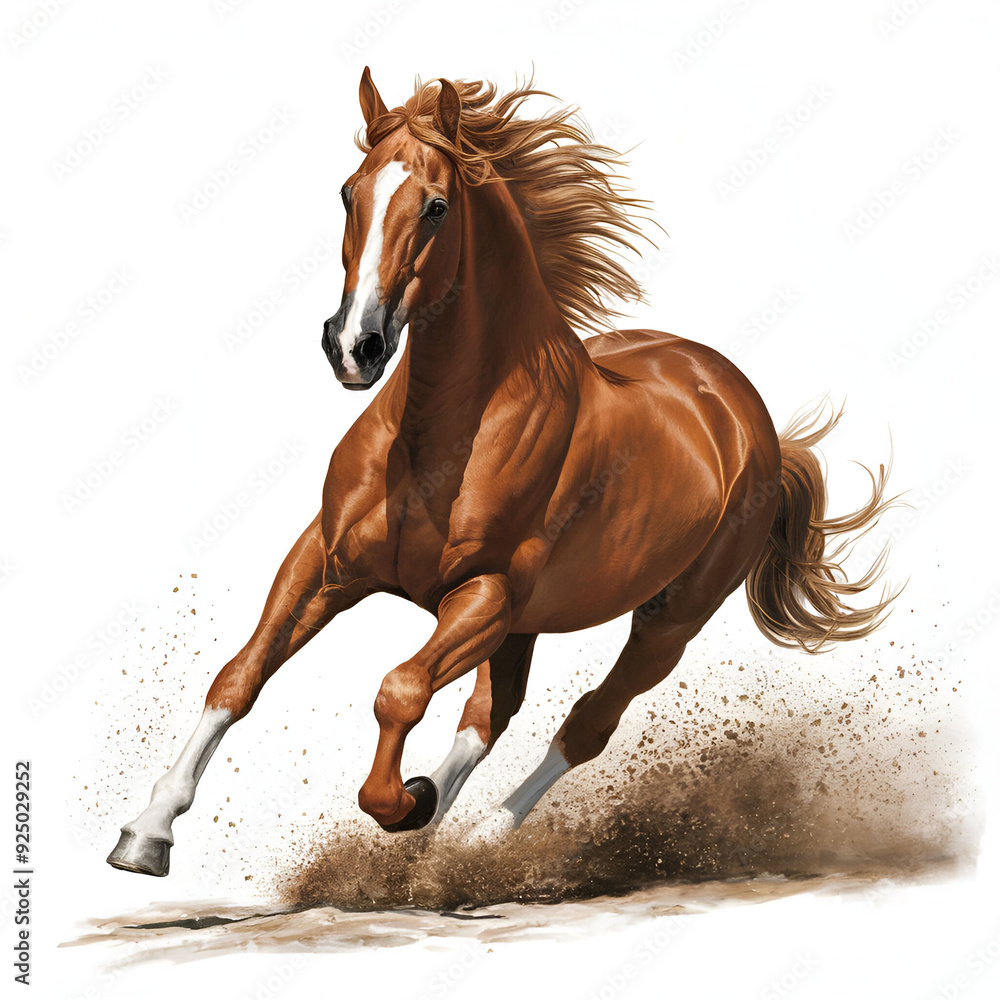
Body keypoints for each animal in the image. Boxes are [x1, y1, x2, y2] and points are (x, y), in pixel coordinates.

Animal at [107, 69, 894, 877]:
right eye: (348, 192)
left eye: (436, 206)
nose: (354, 346)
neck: (440, 436)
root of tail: (741, 409)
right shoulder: (325, 563)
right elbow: (240, 676)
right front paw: (147, 832)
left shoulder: (482, 595)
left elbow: (399, 691)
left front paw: (403, 802)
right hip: (529, 619)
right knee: (491, 713)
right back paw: (433, 830)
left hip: (669, 618)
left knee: (585, 723)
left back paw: (480, 834)